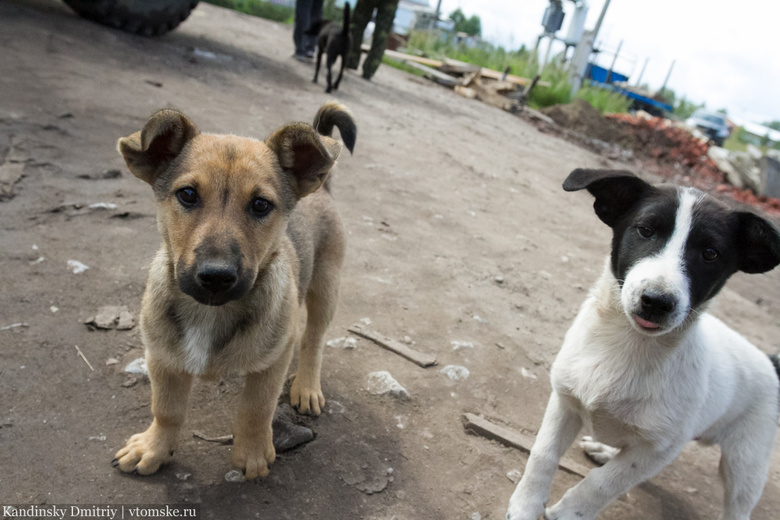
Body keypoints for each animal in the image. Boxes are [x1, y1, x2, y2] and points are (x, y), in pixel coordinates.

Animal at [111, 102, 358, 480]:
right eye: (187, 194)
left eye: (260, 205)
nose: (216, 276)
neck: (210, 312)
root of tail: (323, 188)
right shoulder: (162, 356)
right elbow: (166, 409)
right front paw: (154, 448)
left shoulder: (272, 361)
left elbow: (257, 409)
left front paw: (252, 453)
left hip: (326, 284)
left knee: (313, 338)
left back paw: (306, 386)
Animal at [506, 170, 780, 520]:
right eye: (645, 230)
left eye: (710, 253)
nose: (656, 302)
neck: (627, 346)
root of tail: (769, 361)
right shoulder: (564, 400)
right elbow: (542, 455)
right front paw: (525, 506)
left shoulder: (657, 450)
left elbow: (600, 485)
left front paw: (568, 514)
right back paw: (605, 450)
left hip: (746, 463)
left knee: (738, 507)